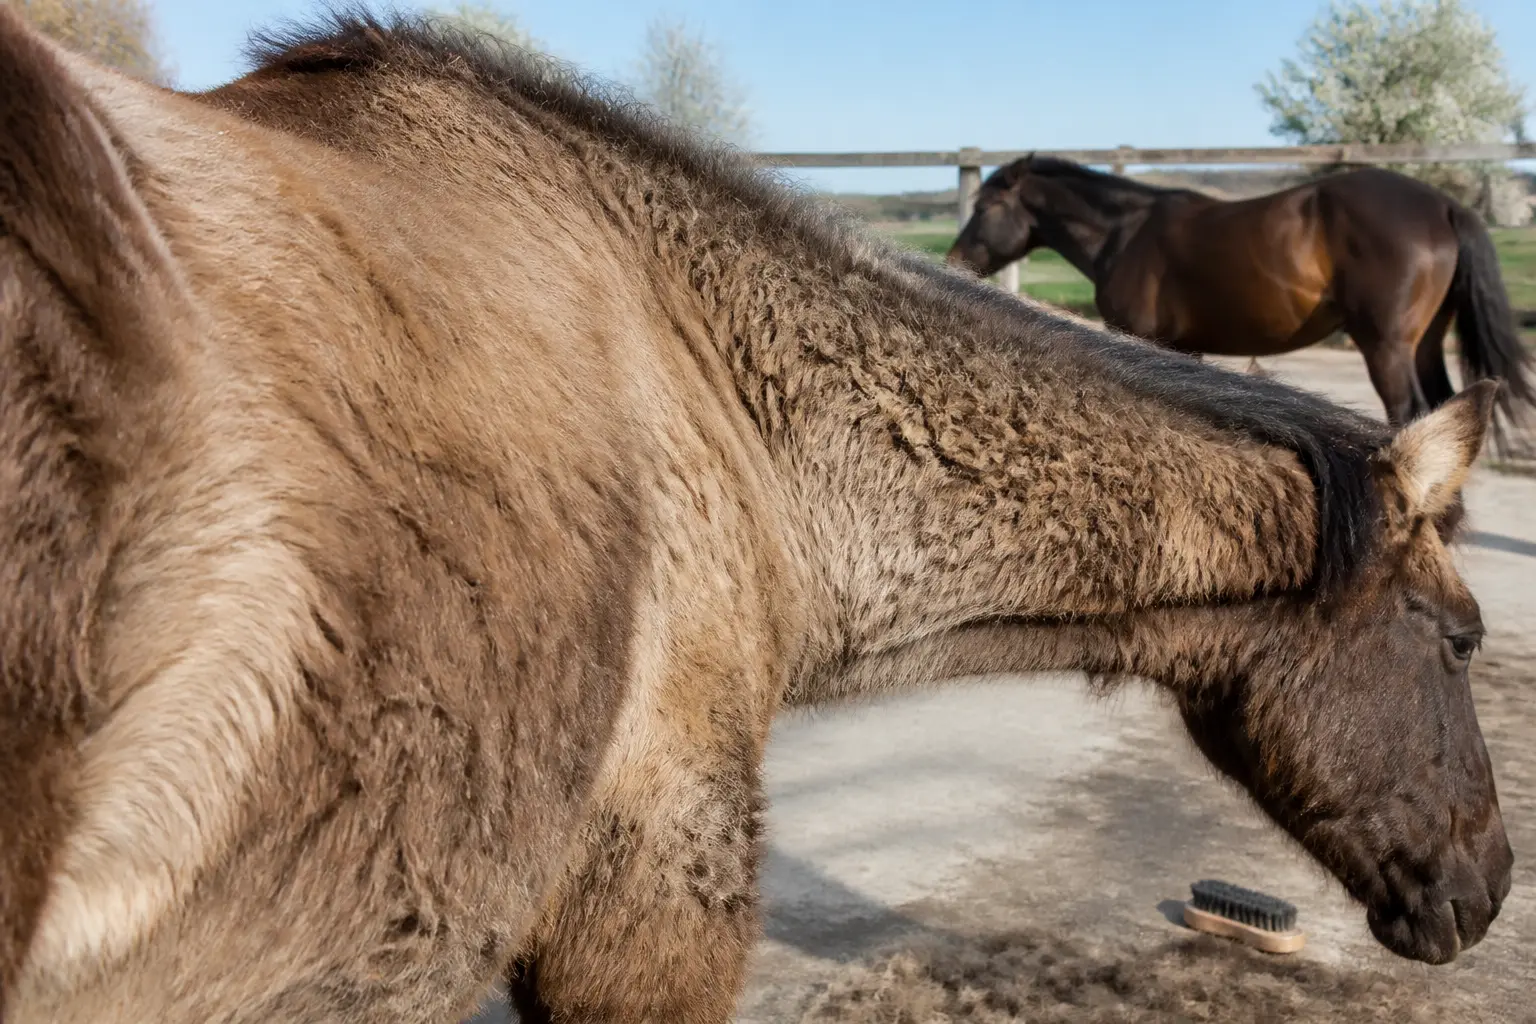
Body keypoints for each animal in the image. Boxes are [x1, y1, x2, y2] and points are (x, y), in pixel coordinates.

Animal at [946, 155, 1535, 445]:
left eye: (987, 205)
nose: (954, 259)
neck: (1126, 232)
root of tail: (1443, 206)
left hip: (1387, 347)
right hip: (1425, 343)